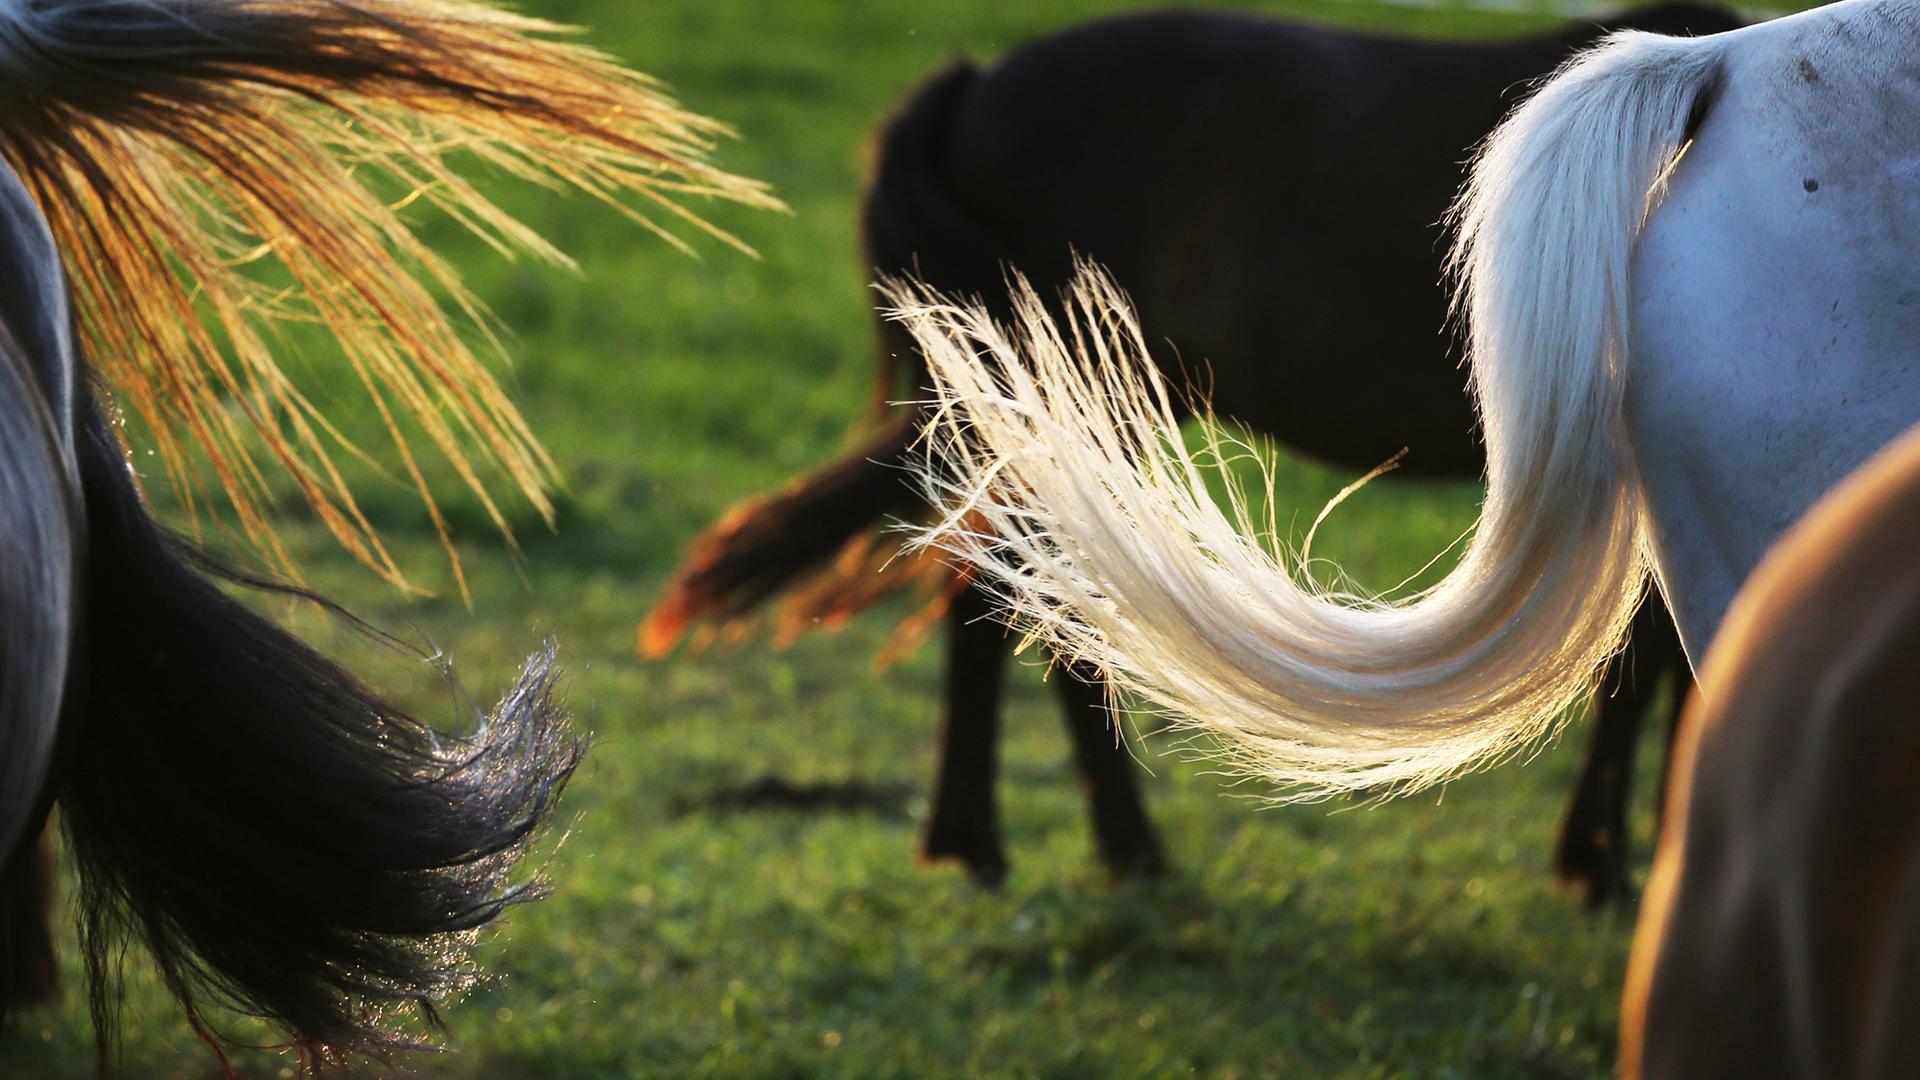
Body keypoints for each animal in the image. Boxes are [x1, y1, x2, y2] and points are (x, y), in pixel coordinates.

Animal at [645, 2, 1743, 899]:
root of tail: (971, 87)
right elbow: (1656, 666)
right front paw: (1608, 864)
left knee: (1004, 594)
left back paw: (992, 845)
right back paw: (1109, 853)